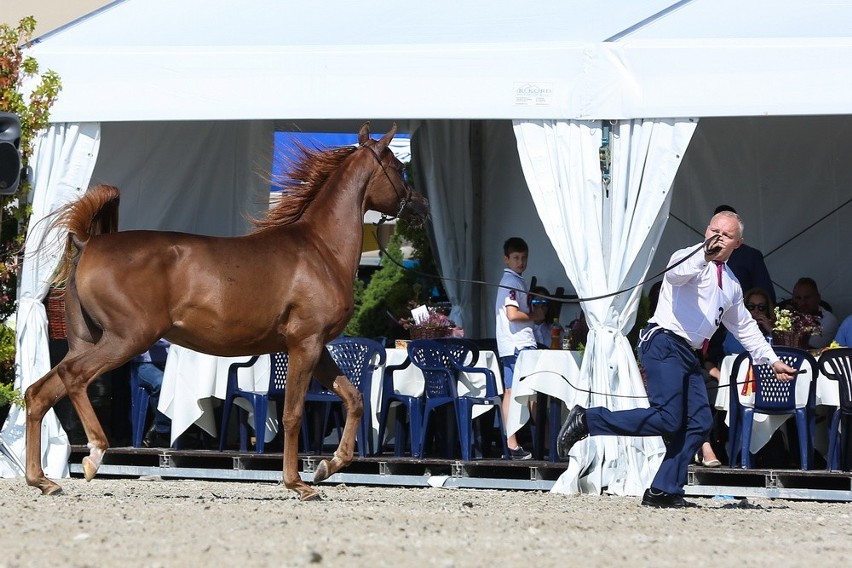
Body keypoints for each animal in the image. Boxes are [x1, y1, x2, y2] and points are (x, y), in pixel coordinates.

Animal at [25, 122, 430, 500]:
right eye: (399, 168)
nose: (422, 206)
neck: (320, 250)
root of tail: (88, 243)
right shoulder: (306, 344)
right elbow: (293, 414)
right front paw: (298, 483)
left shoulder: (318, 347)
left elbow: (354, 399)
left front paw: (326, 467)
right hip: (127, 338)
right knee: (74, 377)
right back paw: (93, 454)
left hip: (87, 341)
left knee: (39, 392)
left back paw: (42, 480)